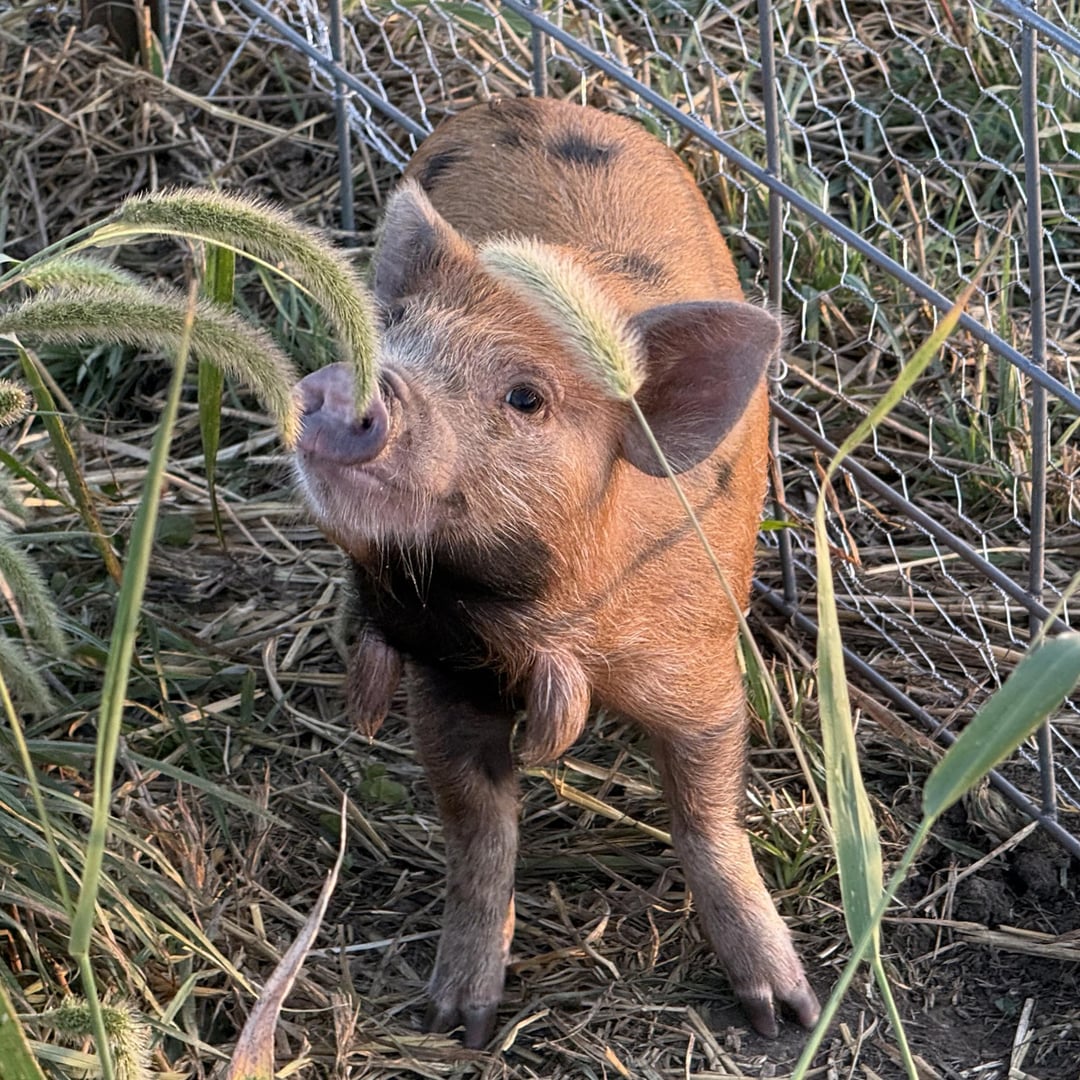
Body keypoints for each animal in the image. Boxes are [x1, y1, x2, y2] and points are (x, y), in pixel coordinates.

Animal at [295, 96, 820, 1048]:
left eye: (527, 397)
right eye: (397, 331)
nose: (354, 388)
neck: (522, 628)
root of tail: (536, 102)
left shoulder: (699, 670)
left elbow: (707, 815)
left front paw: (782, 1015)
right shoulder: (444, 679)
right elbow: (477, 829)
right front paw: (457, 1022)